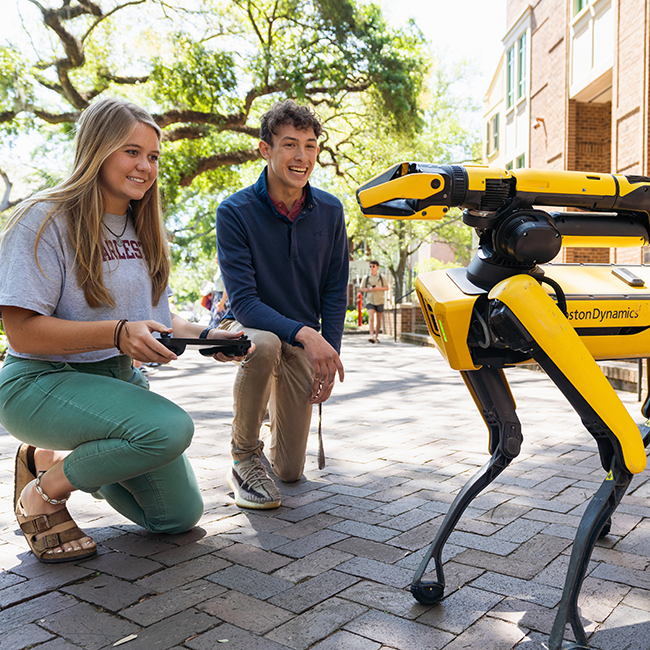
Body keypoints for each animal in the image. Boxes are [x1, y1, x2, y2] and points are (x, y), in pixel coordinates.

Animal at [356, 161, 648, 644]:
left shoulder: (521, 306)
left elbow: (625, 458)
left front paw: (567, 632)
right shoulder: (484, 352)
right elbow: (505, 442)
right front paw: (428, 579)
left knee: (624, 448)